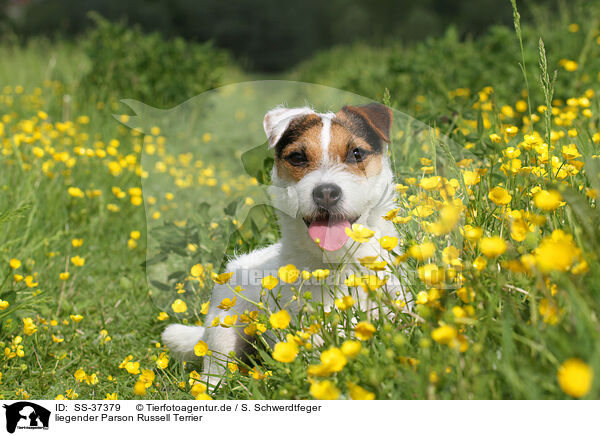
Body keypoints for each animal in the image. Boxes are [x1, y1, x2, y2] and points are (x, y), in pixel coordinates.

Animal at [162, 104, 400, 384]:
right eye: (297, 157)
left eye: (356, 153)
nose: (326, 192)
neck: (337, 263)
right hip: (223, 328)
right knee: (214, 369)